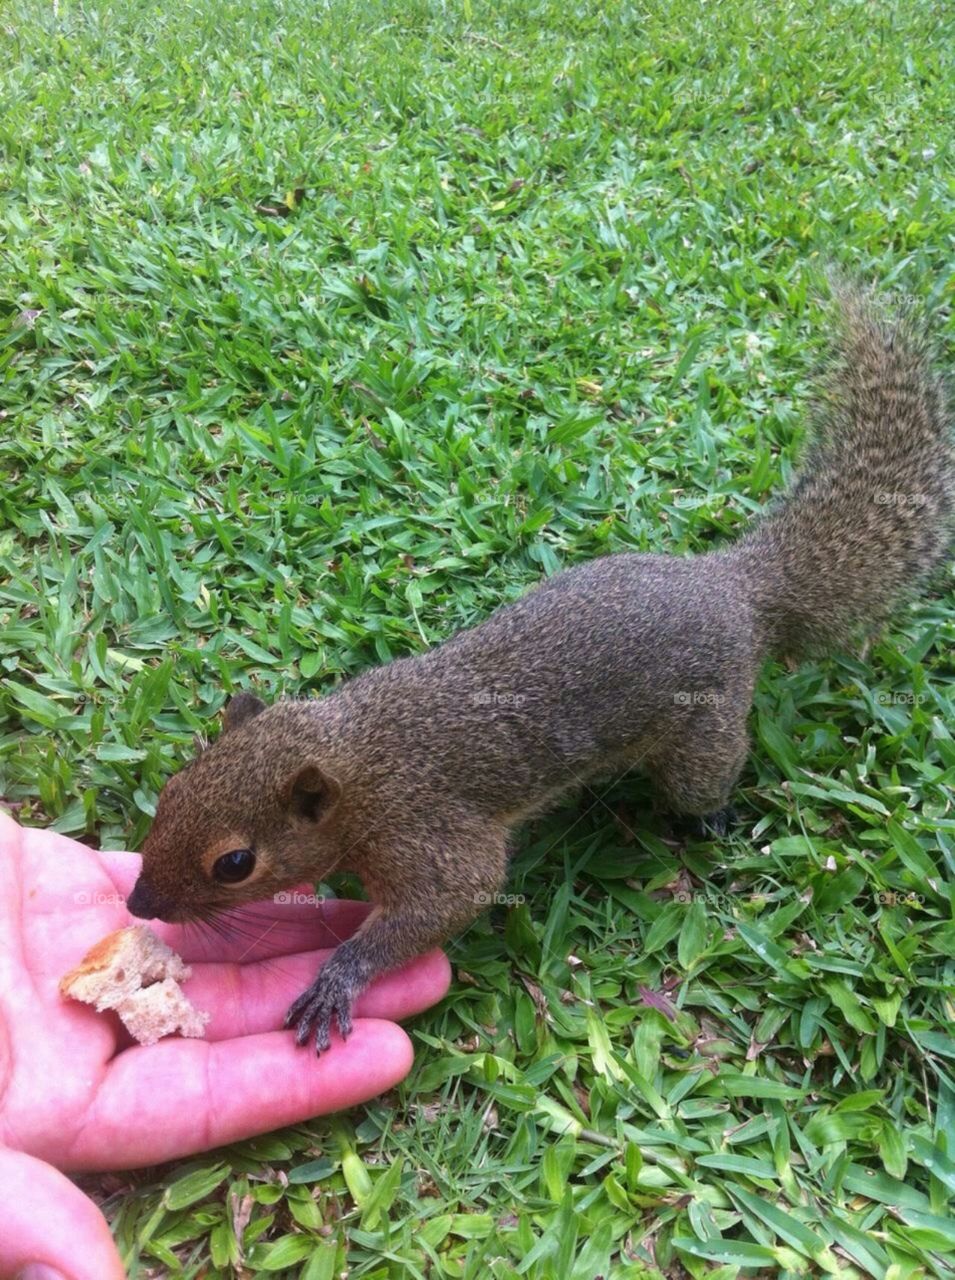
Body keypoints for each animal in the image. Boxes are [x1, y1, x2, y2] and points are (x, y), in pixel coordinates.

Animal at [126, 290, 952, 1049]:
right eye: (170, 791)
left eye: (234, 863)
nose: (138, 905)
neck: (355, 758)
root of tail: (736, 585)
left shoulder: (427, 832)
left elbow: (452, 898)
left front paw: (341, 976)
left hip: (705, 727)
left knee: (705, 778)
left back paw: (709, 818)